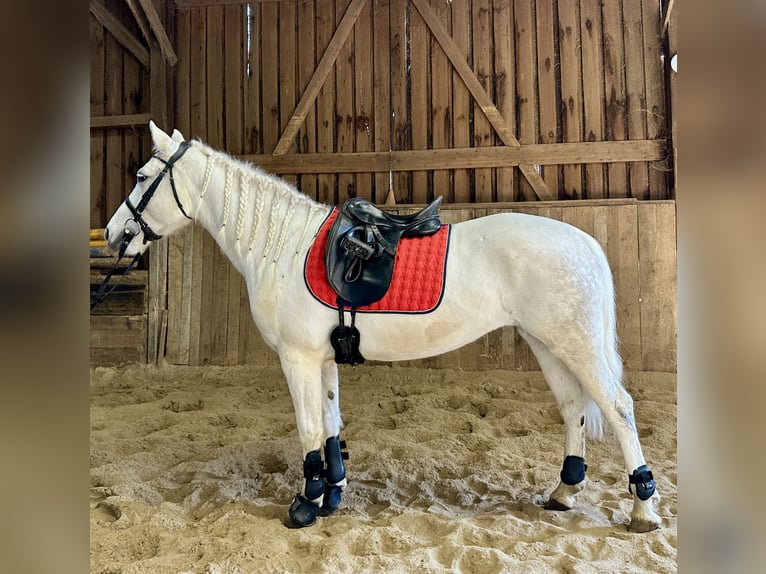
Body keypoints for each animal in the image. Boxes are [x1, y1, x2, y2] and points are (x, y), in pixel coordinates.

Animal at [103, 121, 662, 532]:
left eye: (140, 176)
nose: (112, 234)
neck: (283, 245)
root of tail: (584, 242)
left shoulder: (298, 358)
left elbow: (309, 429)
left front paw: (304, 506)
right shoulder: (322, 358)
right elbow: (330, 425)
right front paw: (331, 494)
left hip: (575, 344)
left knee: (618, 407)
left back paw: (642, 508)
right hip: (547, 342)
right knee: (573, 408)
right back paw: (564, 492)